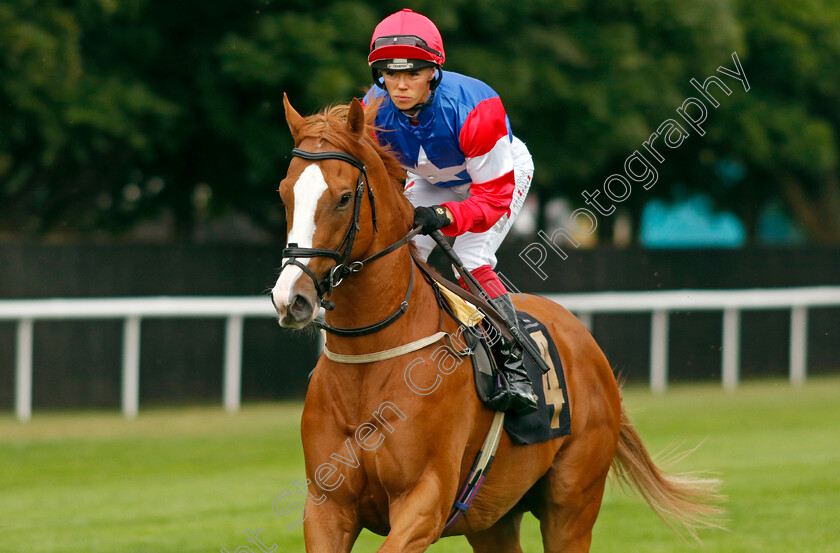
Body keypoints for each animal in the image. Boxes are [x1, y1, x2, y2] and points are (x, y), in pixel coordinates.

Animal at [270, 96, 720, 552]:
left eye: (344, 198)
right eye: (285, 194)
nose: (291, 298)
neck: (372, 362)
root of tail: (585, 339)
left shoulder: (424, 501)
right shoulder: (327, 506)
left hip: (572, 505)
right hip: (491, 517)